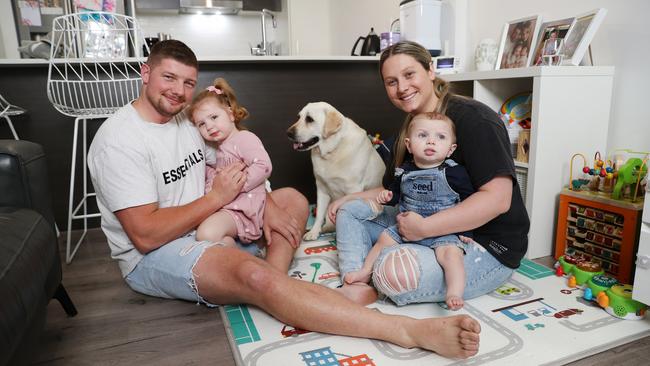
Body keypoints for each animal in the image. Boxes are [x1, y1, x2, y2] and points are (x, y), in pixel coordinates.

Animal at [286, 102, 382, 240]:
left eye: (309, 119)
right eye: (299, 117)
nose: (288, 133)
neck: (332, 152)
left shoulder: (353, 189)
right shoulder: (321, 189)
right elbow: (319, 214)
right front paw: (314, 232)